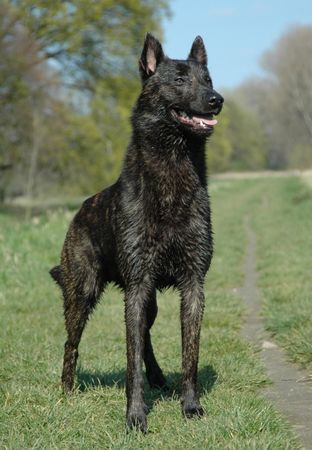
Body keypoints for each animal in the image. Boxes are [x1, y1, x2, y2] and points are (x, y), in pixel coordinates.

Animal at [50, 33, 223, 430]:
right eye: (179, 80)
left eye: (208, 79)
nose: (217, 99)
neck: (173, 169)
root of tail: (79, 212)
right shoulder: (138, 285)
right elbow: (131, 363)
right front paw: (135, 416)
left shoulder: (193, 284)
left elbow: (190, 356)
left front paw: (190, 406)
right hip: (82, 294)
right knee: (72, 343)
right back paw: (67, 390)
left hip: (147, 300)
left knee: (144, 337)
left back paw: (158, 377)